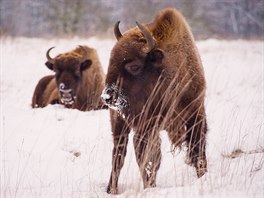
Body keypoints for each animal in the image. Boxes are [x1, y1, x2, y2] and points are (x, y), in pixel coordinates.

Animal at [102, 7, 207, 193]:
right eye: (111, 61)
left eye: (134, 66)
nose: (107, 97)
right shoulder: (147, 126)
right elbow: (149, 161)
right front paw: (150, 187)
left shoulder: (196, 113)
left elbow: (198, 150)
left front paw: (203, 176)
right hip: (120, 123)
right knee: (118, 156)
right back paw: (111, 189)